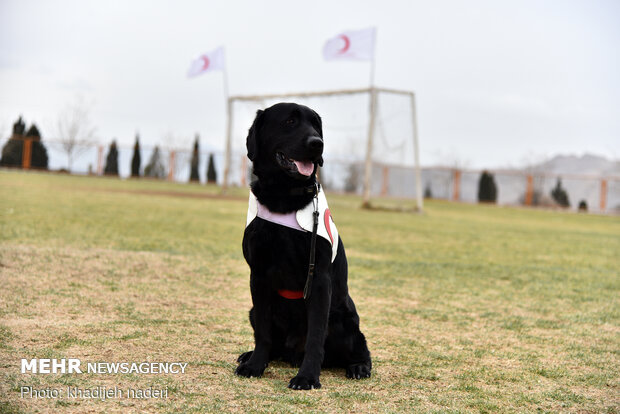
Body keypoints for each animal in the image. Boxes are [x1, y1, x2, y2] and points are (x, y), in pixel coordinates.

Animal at [235, 102, 370, 390]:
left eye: (315, 126)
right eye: (289, 122)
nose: (317, 143)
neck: (283, 197)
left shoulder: (318, 278)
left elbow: (315, 337)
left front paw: (307, 377)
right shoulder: (258, 276)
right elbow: (263, 332)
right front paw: (255, 365)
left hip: (345, 320)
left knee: (361, 348)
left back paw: (359, 367)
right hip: (252, 311)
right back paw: (250, 355)